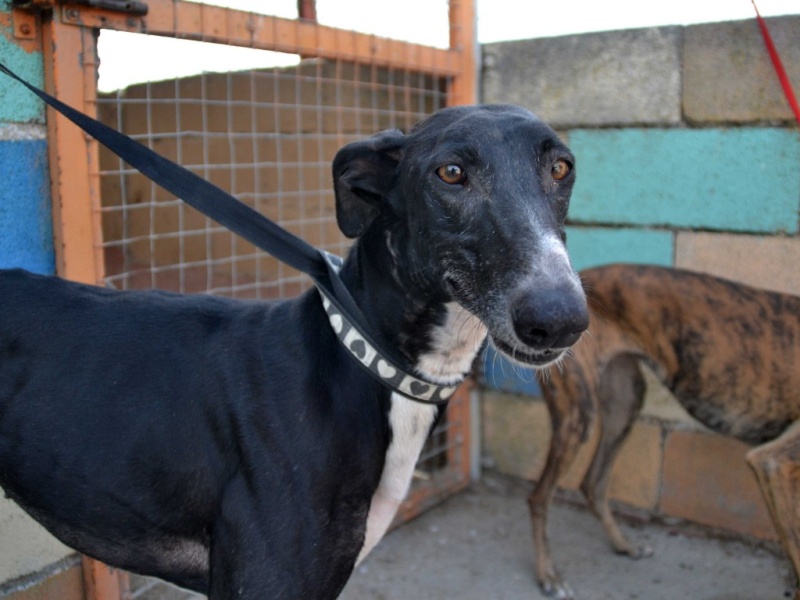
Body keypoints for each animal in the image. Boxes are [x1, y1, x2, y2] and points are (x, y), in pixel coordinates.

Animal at [532, 264, 800, 600]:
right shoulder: (775, 462)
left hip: (626, 400)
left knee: (593, 484)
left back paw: (625, 545)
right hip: (579, 414)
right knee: (540, 497)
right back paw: (548, 575)